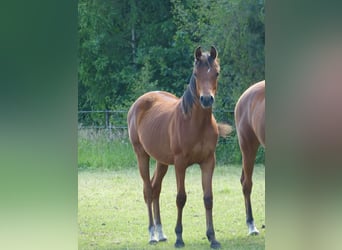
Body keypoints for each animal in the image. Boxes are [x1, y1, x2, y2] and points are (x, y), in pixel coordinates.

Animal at [128, 46, 232, 248]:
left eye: (216, 73)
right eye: (196, 73)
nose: (206, 99)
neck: (196, 124)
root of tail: (139, 102)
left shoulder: (208, 162)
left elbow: (208, 198)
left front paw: (212, 238)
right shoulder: (180, 163)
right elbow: (181, 198)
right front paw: (179, 238)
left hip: (161, 161)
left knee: (155, 189)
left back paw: (161, 233)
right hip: (141, 154)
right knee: (148, 190)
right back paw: (152, 234)